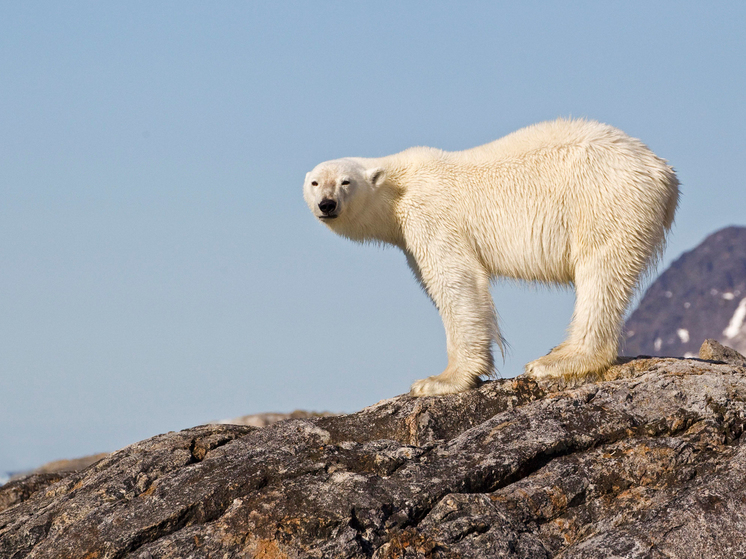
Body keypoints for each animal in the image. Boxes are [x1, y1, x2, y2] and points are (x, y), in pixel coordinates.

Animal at [304, 120, 680, 396]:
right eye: (314, 183)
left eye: (346, 182)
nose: (327, 204)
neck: (398, 187)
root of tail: (663, 171)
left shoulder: (430, 216)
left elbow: (455, 279)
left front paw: (440, 381)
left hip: (605, 199)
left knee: (600, 270)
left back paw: (561, 360)